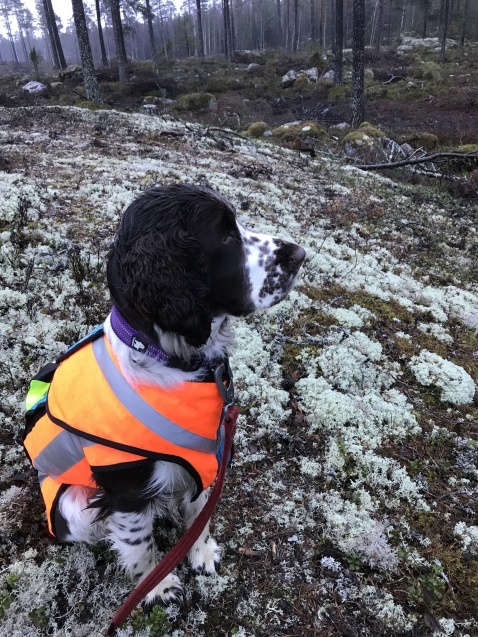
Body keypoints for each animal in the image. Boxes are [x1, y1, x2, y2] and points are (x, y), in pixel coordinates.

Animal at [24, 184, 305, 606]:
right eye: (225, 236)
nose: (301, 255)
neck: (172, 360)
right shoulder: (126, 488)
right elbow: (139, 542)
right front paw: (157, 586)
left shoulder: (207, 454)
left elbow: (200, 513)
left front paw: (200, 554)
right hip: (73, 506)